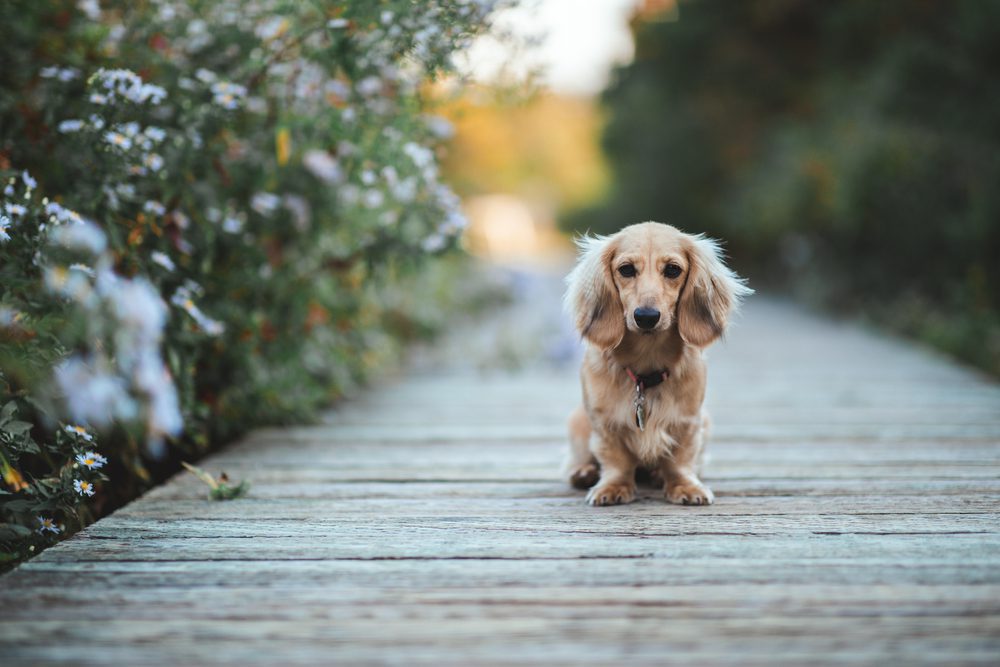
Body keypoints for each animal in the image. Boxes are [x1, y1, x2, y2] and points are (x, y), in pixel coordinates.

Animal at [564, 220, 752, 506]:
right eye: (626, 269)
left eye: (673, 269)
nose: (646, 317)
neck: (646, 364)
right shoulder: (605, 423)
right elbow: (616, 459)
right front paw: (613, 487)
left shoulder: (689, 421)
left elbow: (680, 460)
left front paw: (685, 486)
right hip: (577, 422)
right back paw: (583, 472)